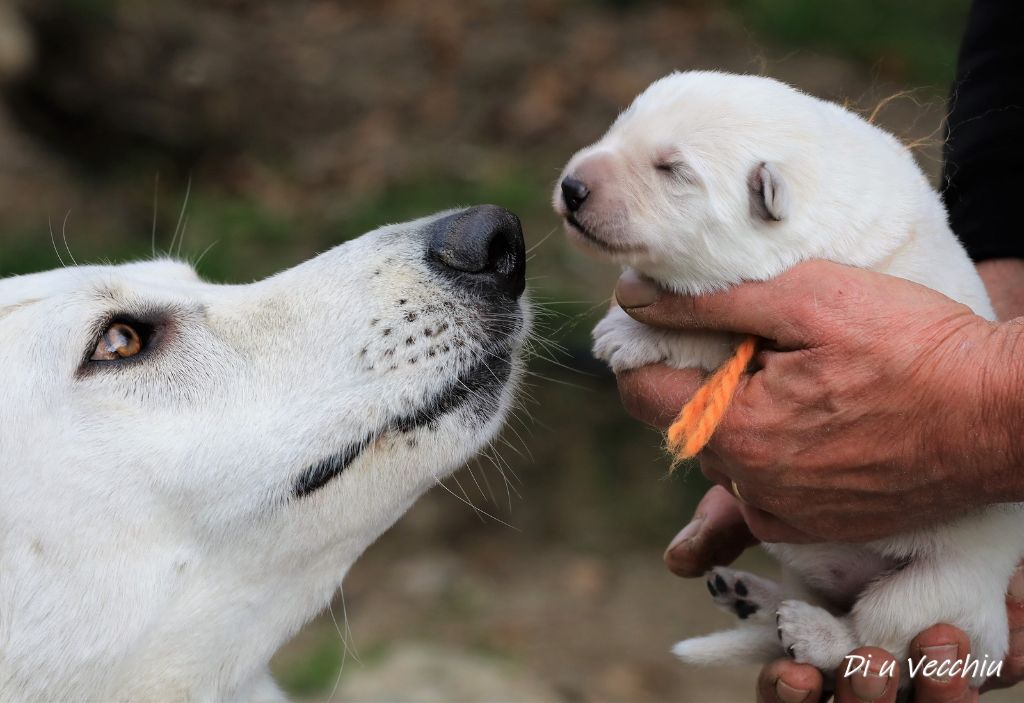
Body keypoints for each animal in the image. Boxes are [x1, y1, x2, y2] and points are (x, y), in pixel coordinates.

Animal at [557, 71, 1024, 687]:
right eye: (618, 127)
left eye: (673, 169)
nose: (571, 187)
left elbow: (712, 333)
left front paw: (628, 333)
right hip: (800, 554)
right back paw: (748, 594)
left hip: (940, 586)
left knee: (872, 635)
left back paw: (812, 631)